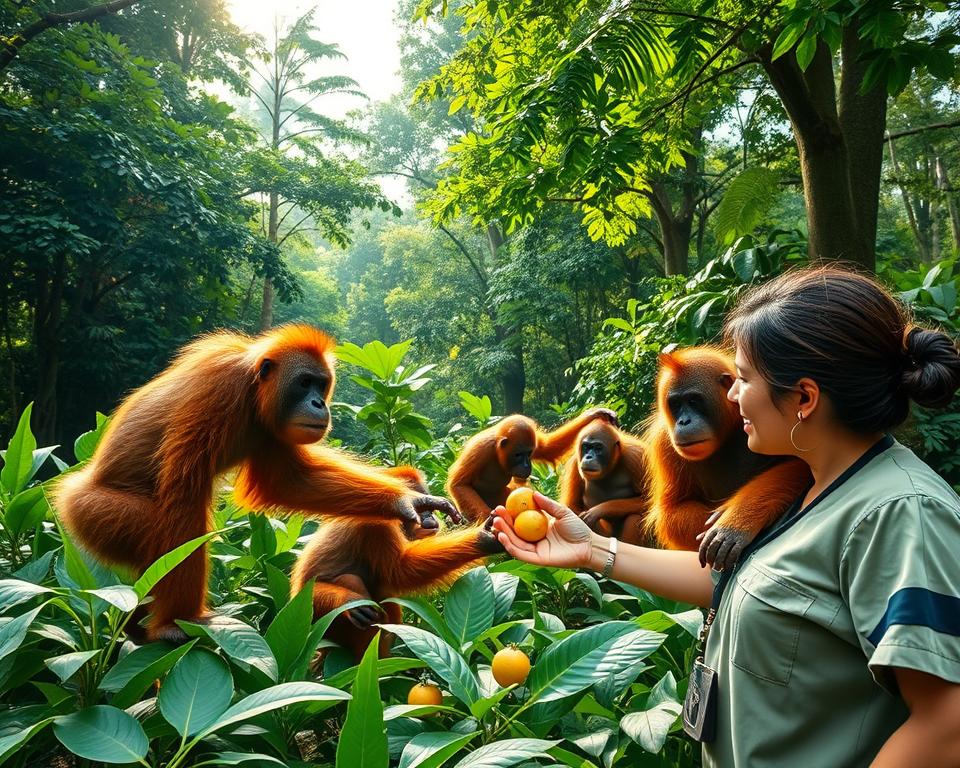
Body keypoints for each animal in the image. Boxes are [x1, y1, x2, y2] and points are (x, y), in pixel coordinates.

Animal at [53, 324, 460, 642]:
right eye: (304, 383)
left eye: (321, 384)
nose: (319, 404)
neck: (252, 392)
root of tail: (72, 494)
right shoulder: (217, 391)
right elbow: (184, 493)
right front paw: (175, 622)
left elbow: (289, 482)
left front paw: (408, 501)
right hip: (100, 514)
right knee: (166, 524)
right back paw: (161, 622)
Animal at [446, 408, 619, 522]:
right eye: (518, 455)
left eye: (529, 453)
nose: (526, 465)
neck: (497, 451)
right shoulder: (481, 449)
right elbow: (459, 484)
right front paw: (489, 520)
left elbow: (548, 448)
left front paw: (595, 414)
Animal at [643, 346, 811, 570]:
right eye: (676, 404)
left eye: (693, 401)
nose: (683, 422)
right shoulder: (663, 441)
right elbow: (672, 510)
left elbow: (801, 463)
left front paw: (732, 522)